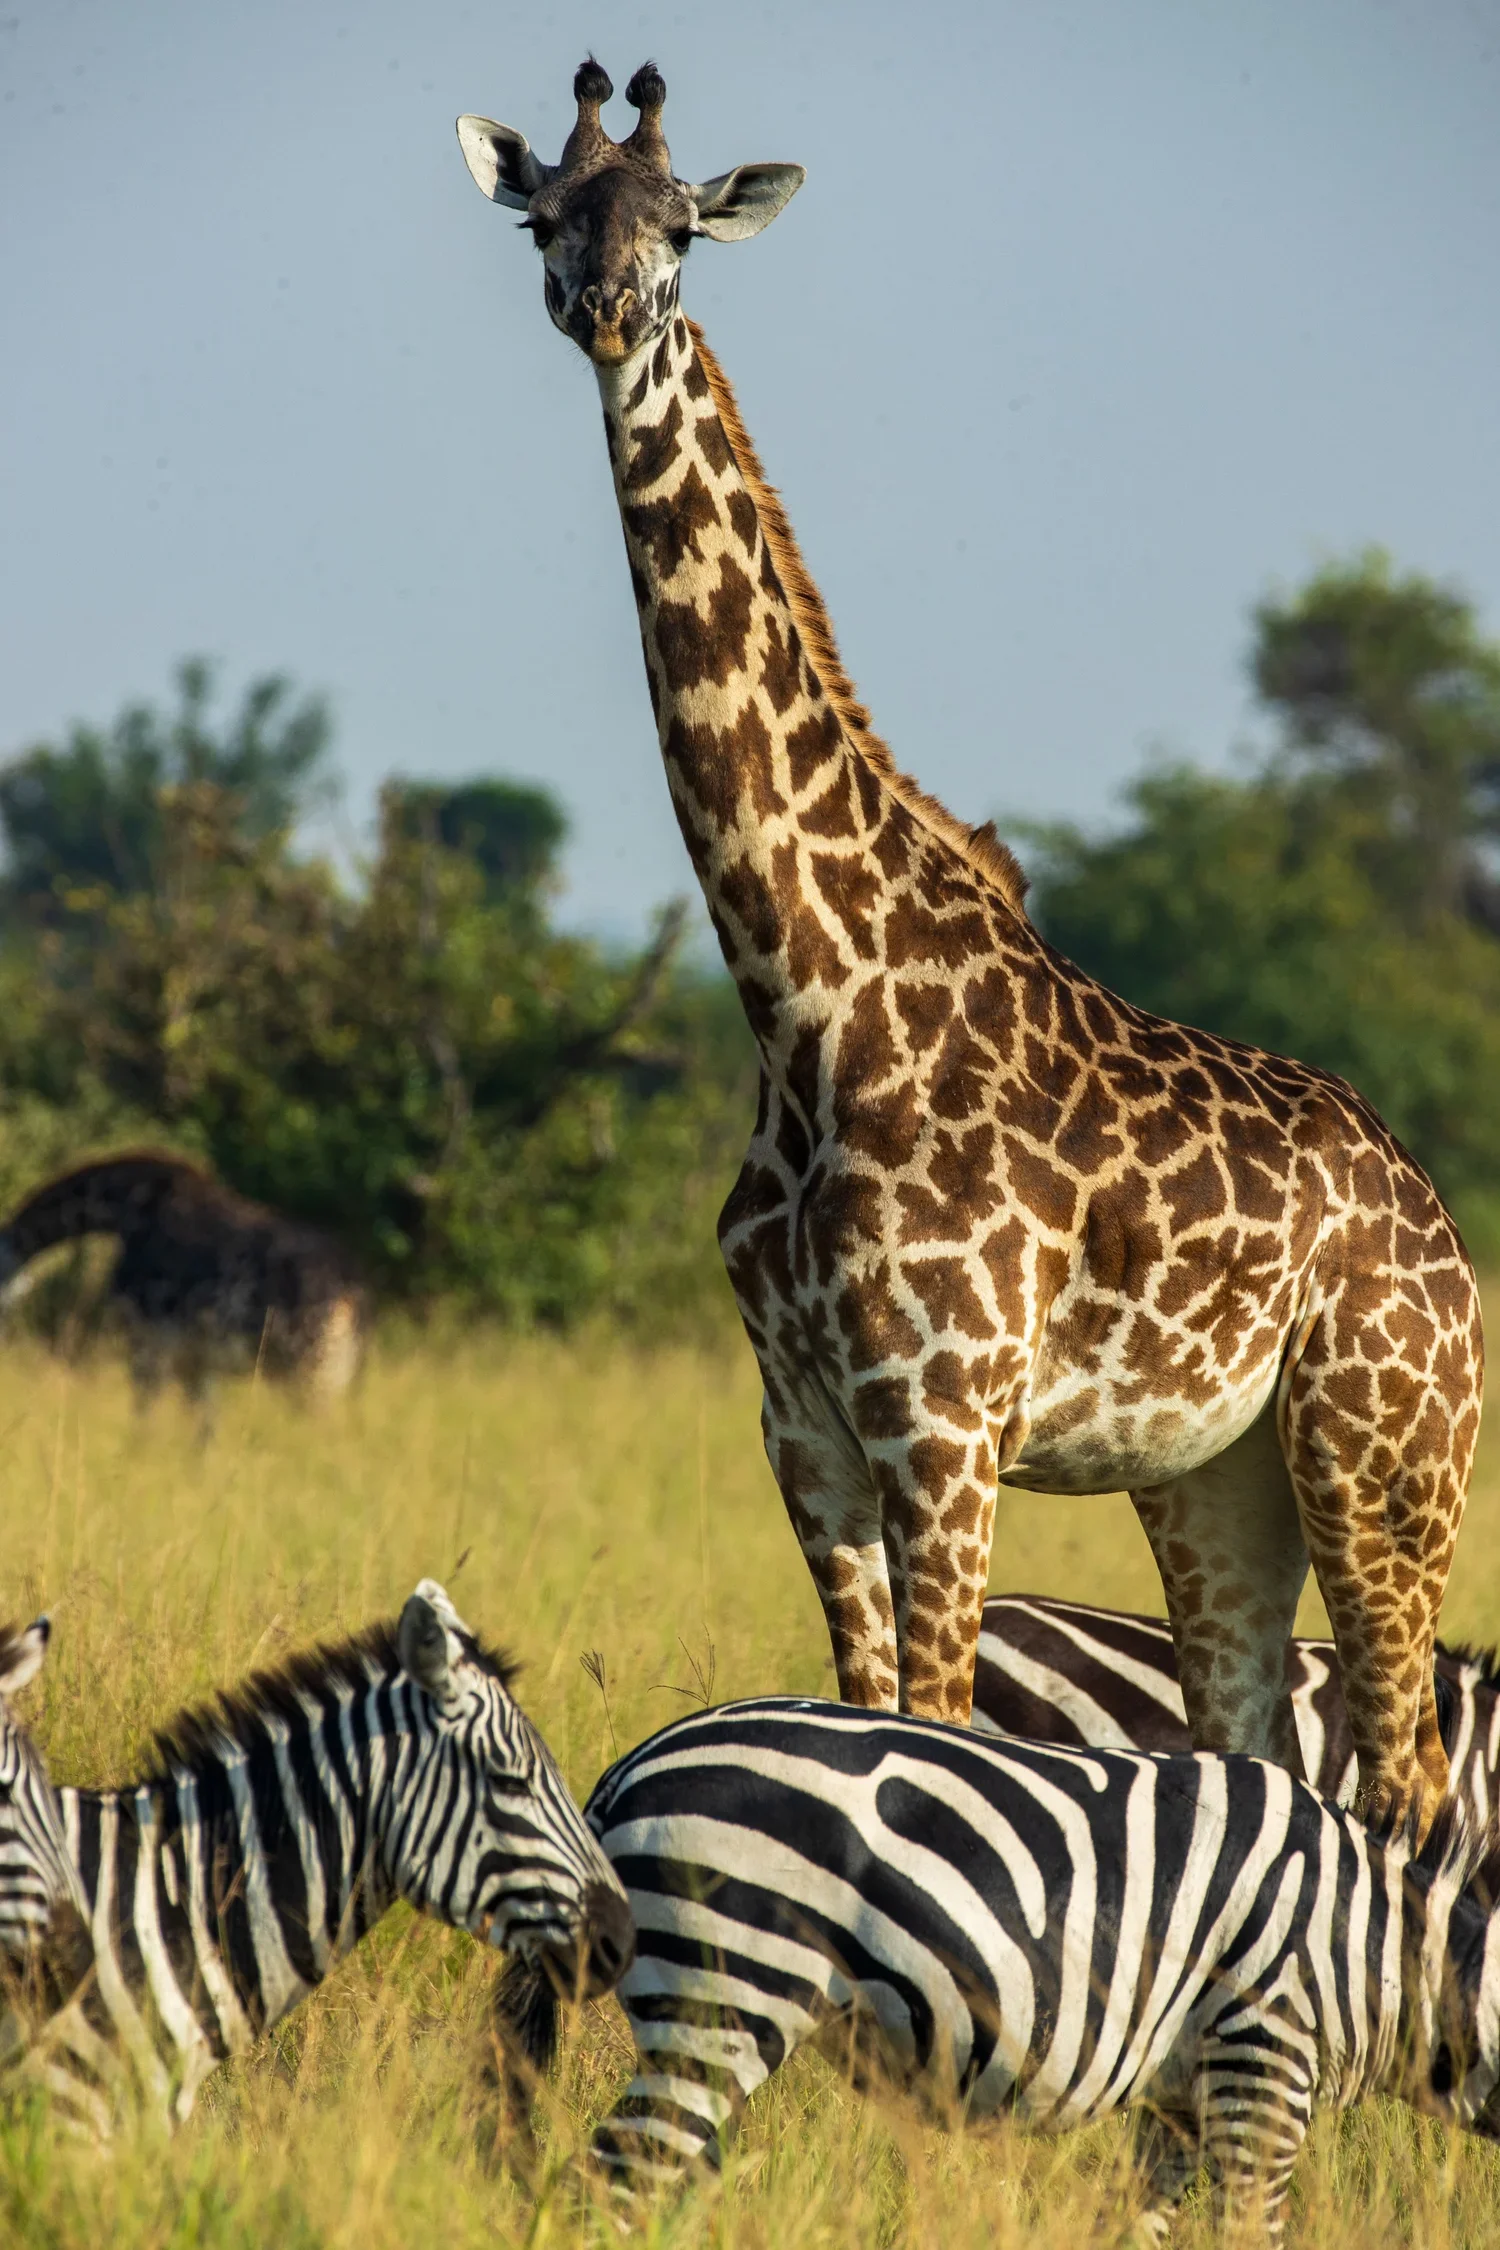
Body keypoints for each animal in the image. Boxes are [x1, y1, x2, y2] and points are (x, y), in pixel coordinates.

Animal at [456, 61, 1483, 1832]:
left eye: (681, 226)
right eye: (547, 220)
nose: (607, 307)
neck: (807, 1006)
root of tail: (1447, 1239)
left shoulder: (941, 1424)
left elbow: (935, 1723)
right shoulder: (802, 1427)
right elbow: (867, 1707)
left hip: (1383, 1452)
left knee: (1410, 1778)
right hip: (1217, 1476)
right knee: (1258, 1744)